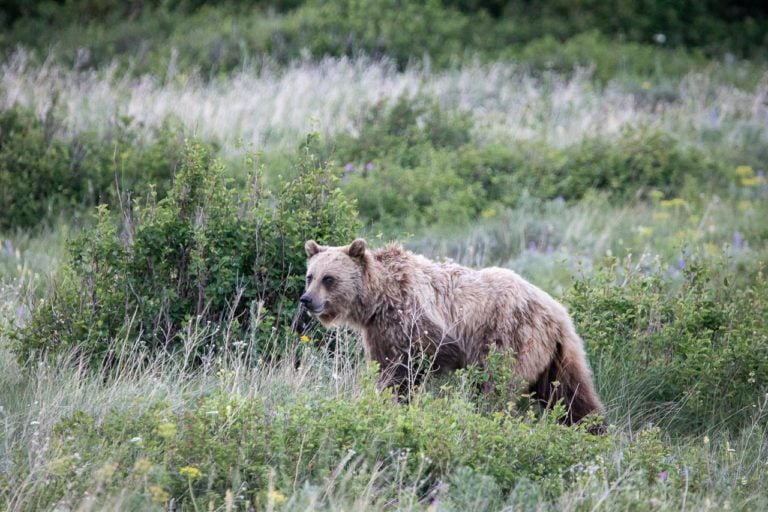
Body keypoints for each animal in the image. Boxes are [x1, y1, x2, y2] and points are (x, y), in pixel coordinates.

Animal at [300, 238, 608, 430]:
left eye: (329, 278)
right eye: (310, 276)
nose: (306, 300)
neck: (378, 301)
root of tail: (558, 312)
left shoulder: (415, 324)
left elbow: (405, 371)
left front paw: (398, 400)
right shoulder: (380, 333)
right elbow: (387, 368)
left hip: (512, 338)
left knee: (499, 386)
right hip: (557, 355)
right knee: (572, 393)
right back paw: (593, 427)